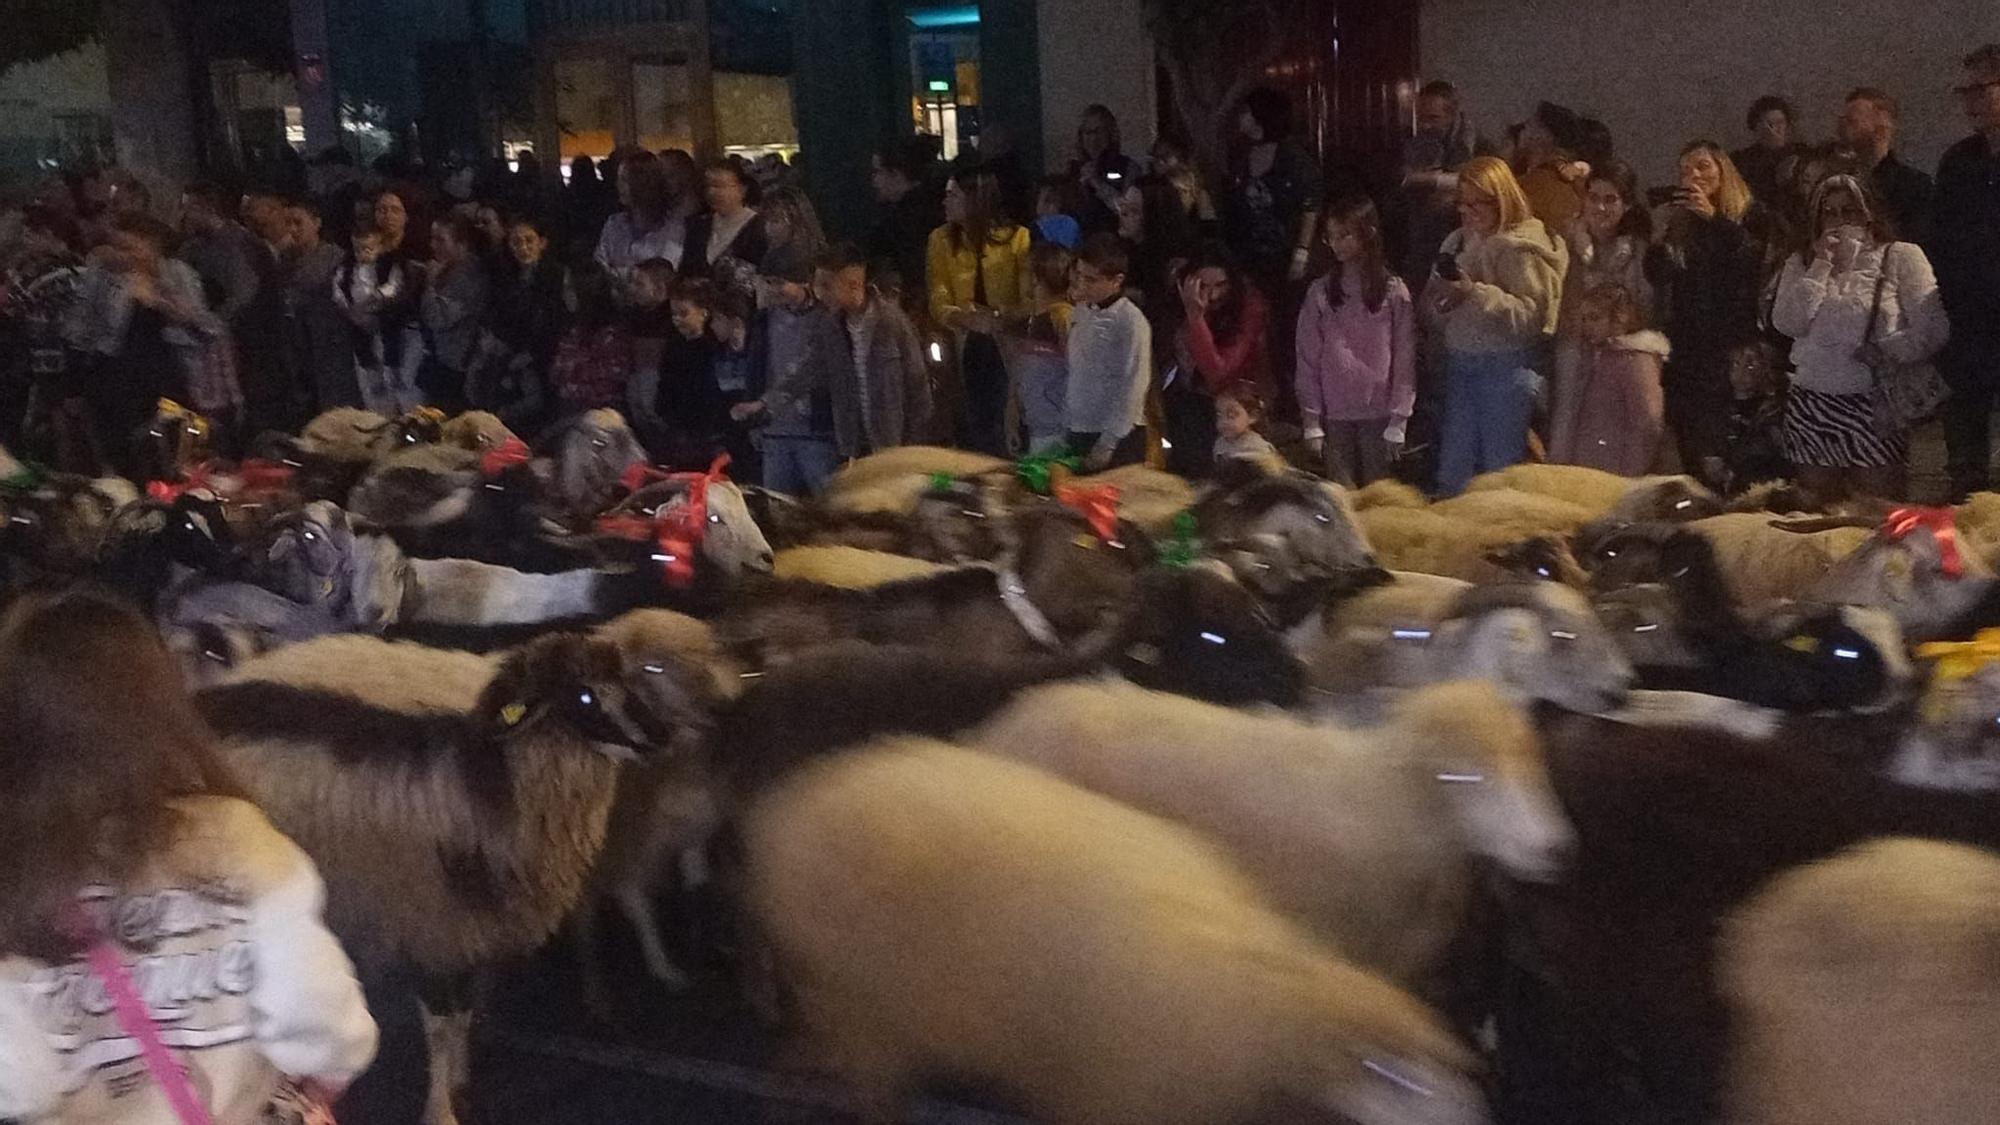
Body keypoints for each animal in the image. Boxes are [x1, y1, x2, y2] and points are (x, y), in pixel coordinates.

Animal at [195, 608, 740, 1120]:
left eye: (632, 680)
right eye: (584, 697)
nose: (659, 736)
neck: (507, 766)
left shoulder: (469, 923)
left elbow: (463, 1016)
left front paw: (459, 1086)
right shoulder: (430, 918)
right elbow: (442, 1024)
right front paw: (442, 1110)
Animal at [748, 736, 1488, 1120]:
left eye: (1450, 1064)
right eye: (1389, 1073)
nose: (1477, 1116)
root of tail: (796, 802)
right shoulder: (1121, 1094)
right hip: (863, 998)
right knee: (873, 1083)